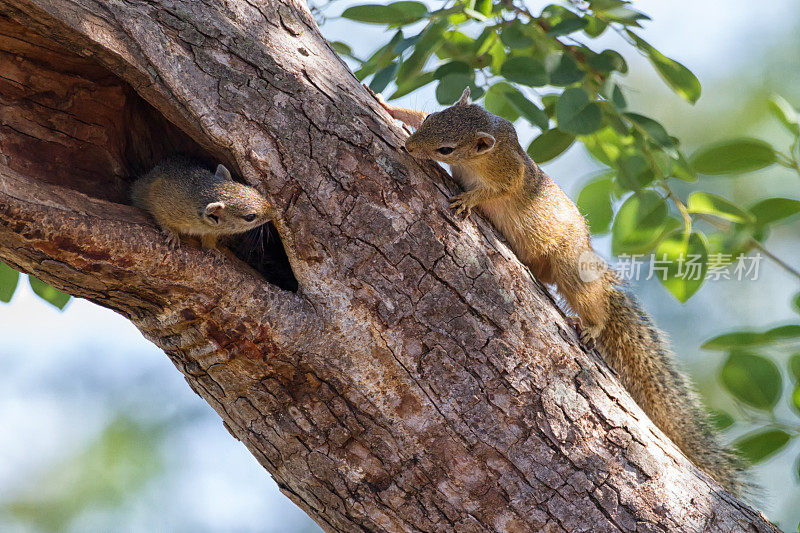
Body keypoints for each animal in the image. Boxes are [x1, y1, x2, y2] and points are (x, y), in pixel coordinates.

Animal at [131, 156, 276, 251]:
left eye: (254, 190)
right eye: (250, 217)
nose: (274, 213)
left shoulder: (210, 229)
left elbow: (210, 237)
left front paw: (212, 249)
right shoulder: (162, 202)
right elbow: (161, 216)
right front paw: (172, 234)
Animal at [378, 86, 748, 494]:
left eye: (446, 149)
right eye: (431, 119)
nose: (410, 147)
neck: (488, 149)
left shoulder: (510, 173)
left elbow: (499, 190)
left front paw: (469, 199)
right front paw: (387, 104)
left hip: (570, 267)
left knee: (592, 302)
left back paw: (591, 324)